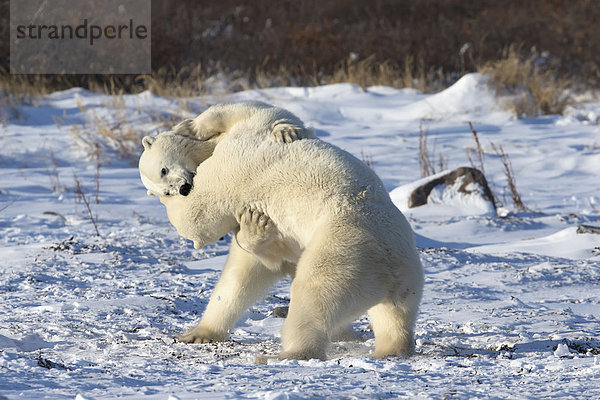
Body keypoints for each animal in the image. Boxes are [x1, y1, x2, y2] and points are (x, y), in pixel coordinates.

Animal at [138, 101, 424, 362]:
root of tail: (391, 270)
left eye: (163, 170)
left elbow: (252, 111)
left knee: (314, 293)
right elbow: (248, 269)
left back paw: (287, 353)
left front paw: (188, 127)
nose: (181, 188)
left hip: (348, 245)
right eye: (164, 186)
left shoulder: (231, 160)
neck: (212, 148)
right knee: (394, 316)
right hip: (404, 276)